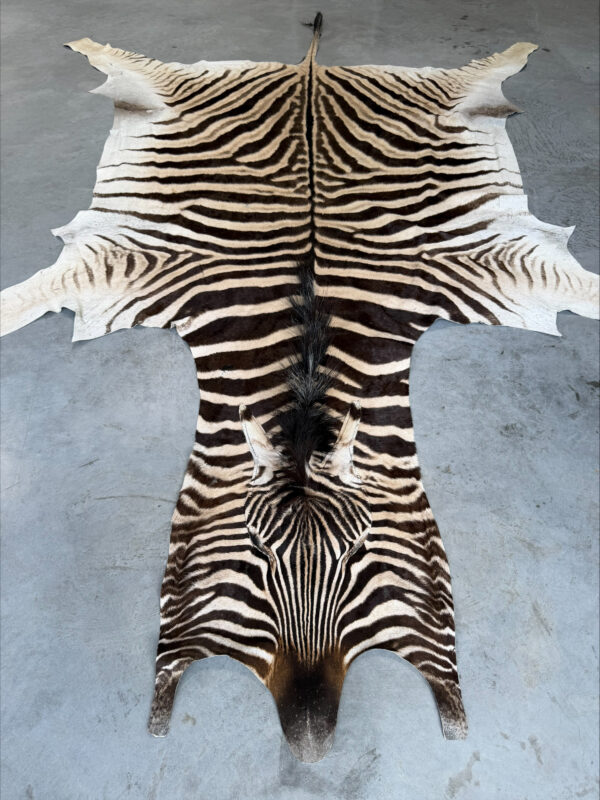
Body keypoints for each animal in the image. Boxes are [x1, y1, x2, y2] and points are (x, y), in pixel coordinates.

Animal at [1, 14, 597, 762]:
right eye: (256, 562)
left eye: (359, 557)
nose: (310, 742)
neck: (307, 363)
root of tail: (310, 70)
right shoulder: (126, 266)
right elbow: (27, 295)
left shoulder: (493, 268)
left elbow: (582, 286)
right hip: (180, 96)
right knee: (141, 72)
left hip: (439, 110)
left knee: (473, 80)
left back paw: (513, 52)